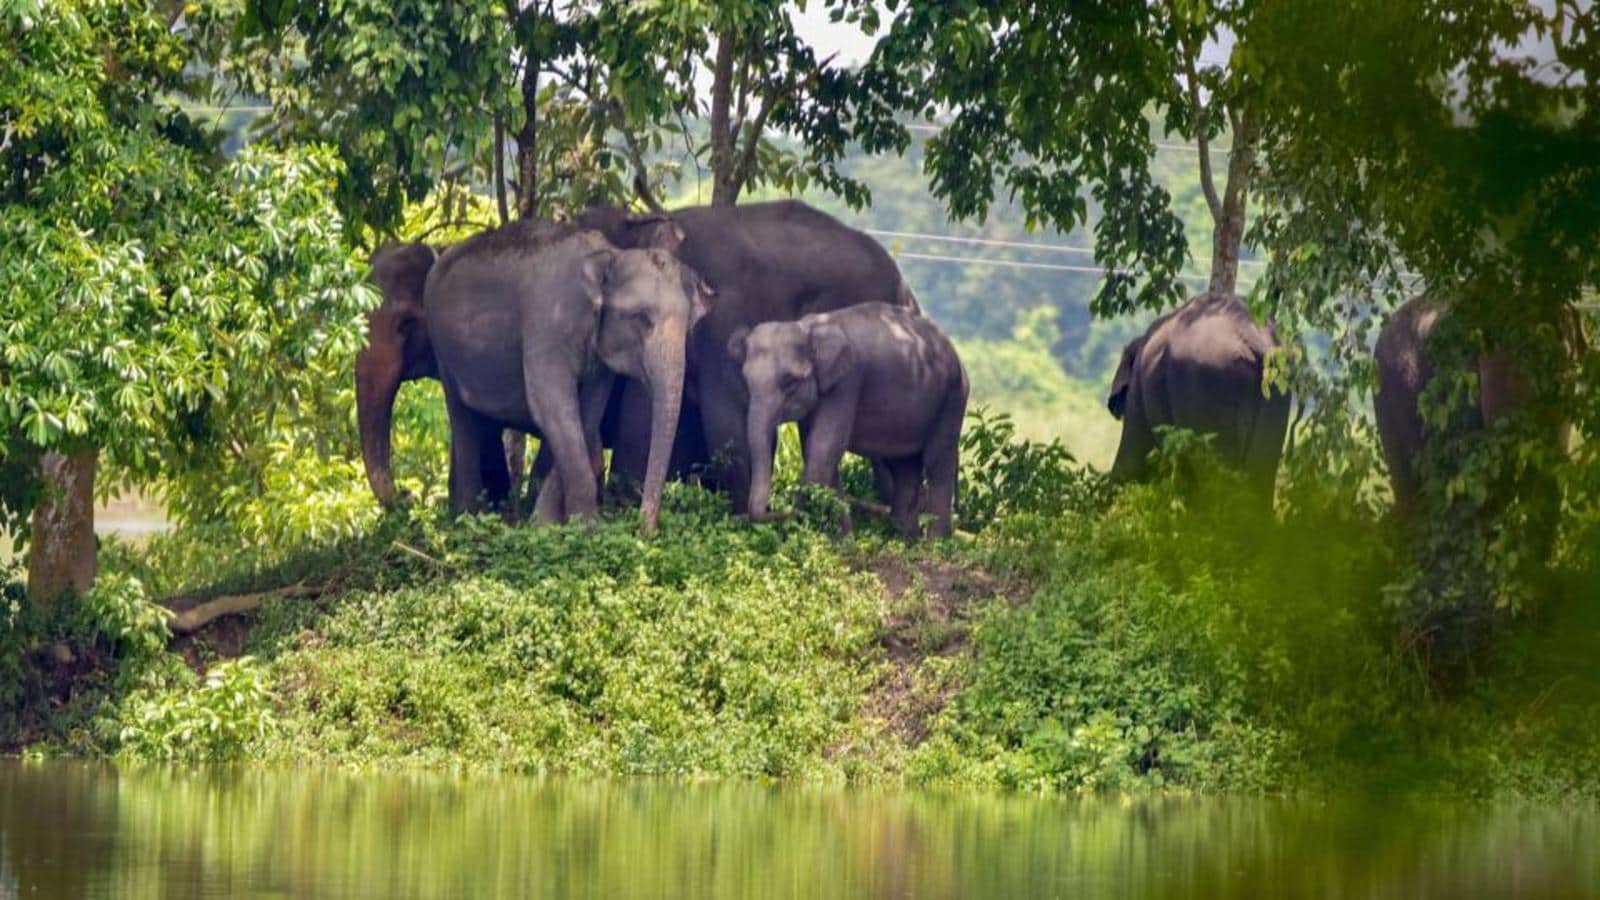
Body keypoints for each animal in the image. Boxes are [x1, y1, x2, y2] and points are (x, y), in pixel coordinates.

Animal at [729, 302, 968, 538]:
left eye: (790, 381)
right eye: (747, 382)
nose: (780, 511)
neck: (807, 328)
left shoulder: (847, 381)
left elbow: (824, 447)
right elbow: (815, 450)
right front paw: (843, 541)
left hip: (953, 397)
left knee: (936, 461)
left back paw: (934, 542)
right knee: (905, 467)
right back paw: (904, 539)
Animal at [1106, 292, 1290, 497]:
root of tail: (1252, 338)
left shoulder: (1138, 395)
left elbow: (1133, 461)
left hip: (1207, 387)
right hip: (1277, 389)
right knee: (1260, 473)